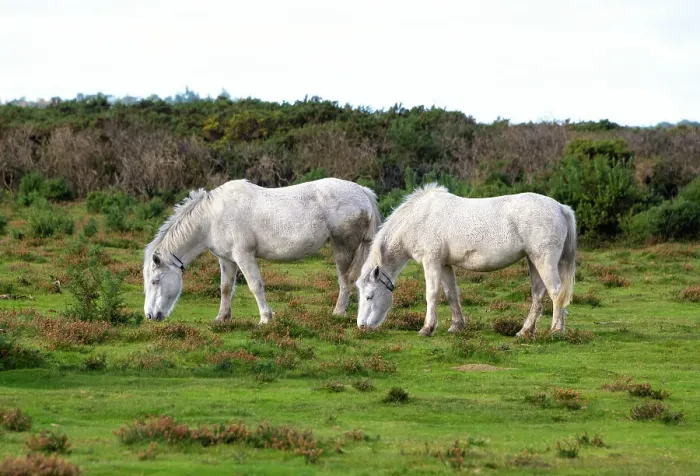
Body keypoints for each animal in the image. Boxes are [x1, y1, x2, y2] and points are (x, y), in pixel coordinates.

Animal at [143, 178, 381, 323]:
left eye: (154, 281)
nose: (150, 315)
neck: (212, 217)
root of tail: (362, 191)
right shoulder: (227, 260)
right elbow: (225, 288)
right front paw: (222, 317)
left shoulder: (244, 256)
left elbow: (255, 286)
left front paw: (266, 318)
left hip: (343, 247)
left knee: (346, 280)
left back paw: (338, 312)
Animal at [355, 183, 576, 337]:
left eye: (369, 296)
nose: (361, 326)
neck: (419, 219)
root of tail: (560, 207)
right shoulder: (444, 264)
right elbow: (451, 294)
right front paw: (456, 326)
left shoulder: (431, 262)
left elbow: (432, 294)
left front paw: (427, 328)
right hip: (533, 260)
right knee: (538, 295)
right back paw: (525, 331)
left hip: (544, 261)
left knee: (556, 292)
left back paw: (556, 330)